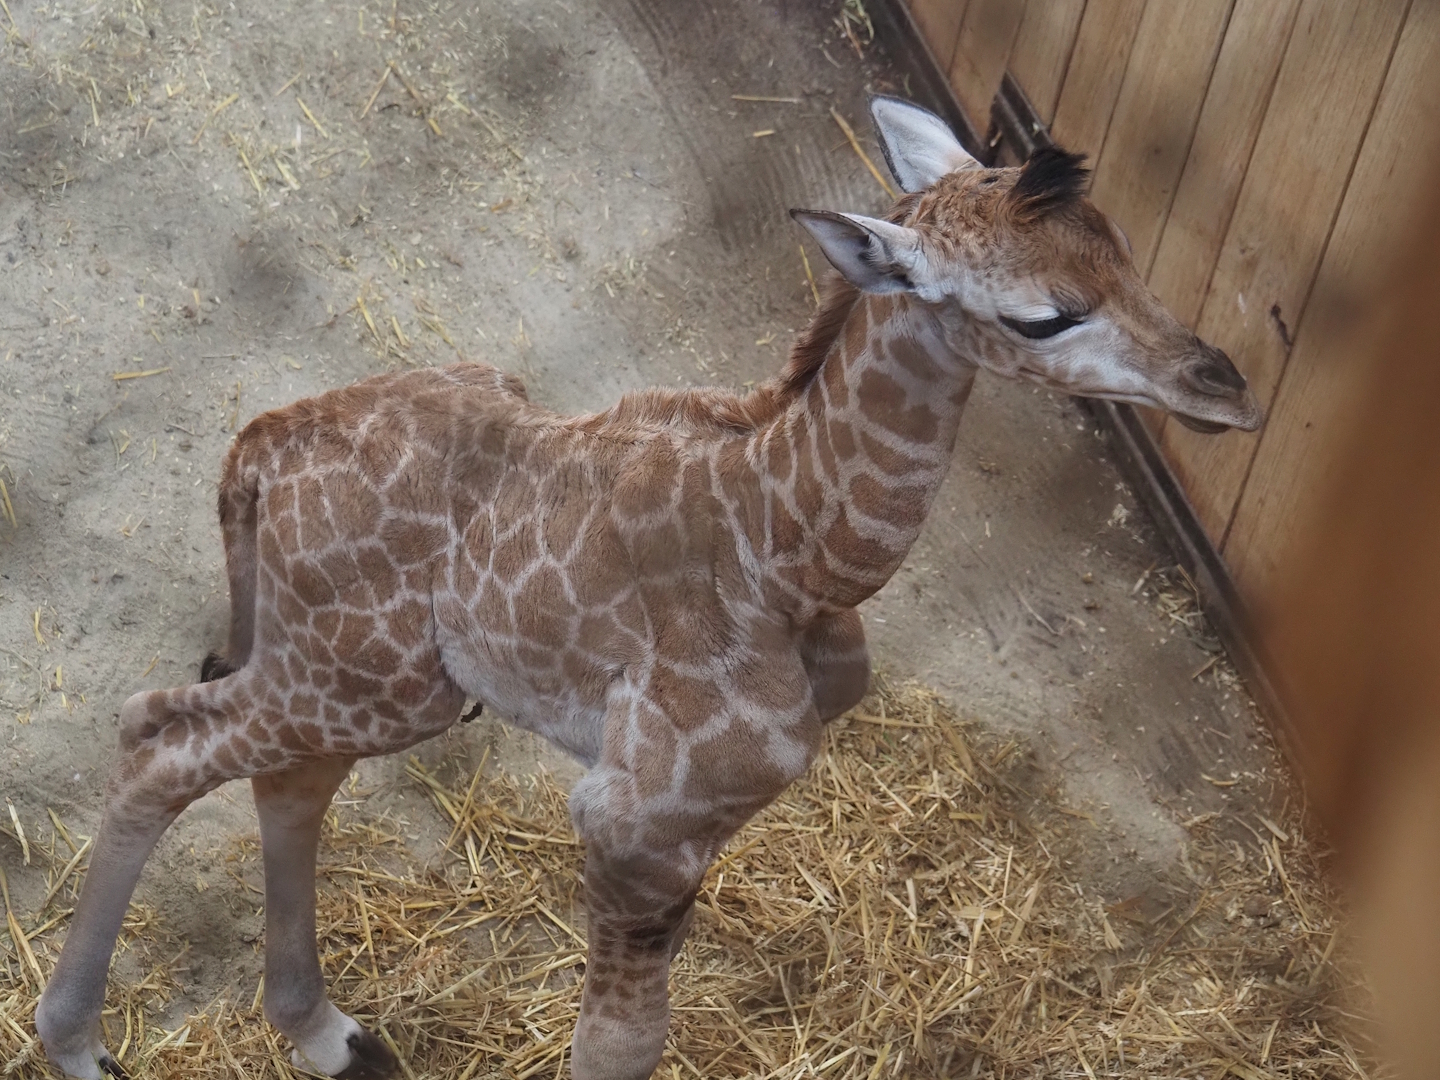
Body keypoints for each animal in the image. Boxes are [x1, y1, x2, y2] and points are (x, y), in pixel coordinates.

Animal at [36, 97, 1262, 1080]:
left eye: (1123, 248)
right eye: (1042, 315)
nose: (1230, 390)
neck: (792, 554)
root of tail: (258, 452)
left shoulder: (696, 820)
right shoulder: (636, 820)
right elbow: (619, 1040)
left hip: (362, 680)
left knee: (268, 772)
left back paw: (329, 1035)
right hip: (357, 677)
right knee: (157, 739)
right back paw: (80, 1046)